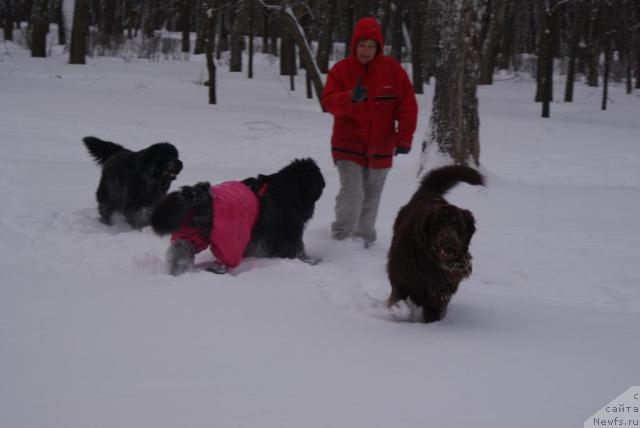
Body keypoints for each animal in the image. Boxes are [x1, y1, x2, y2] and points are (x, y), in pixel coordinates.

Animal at [151, 157, 324, 274]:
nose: (324, 185)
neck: (284, 188)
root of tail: (202, 195)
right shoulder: (288, 234)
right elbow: (296, 250)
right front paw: (312, 262)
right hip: (230, 240)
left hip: (189, 236)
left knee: (180, 253)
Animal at [384, 166, 484, 322]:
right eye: (438, 224)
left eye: (458, 226)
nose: (448, 238)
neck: (431, 264)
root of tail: (428, 191)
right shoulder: (401, 278)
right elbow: (399, 297)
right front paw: (400, 313)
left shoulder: (440, 294)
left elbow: (433, 311)